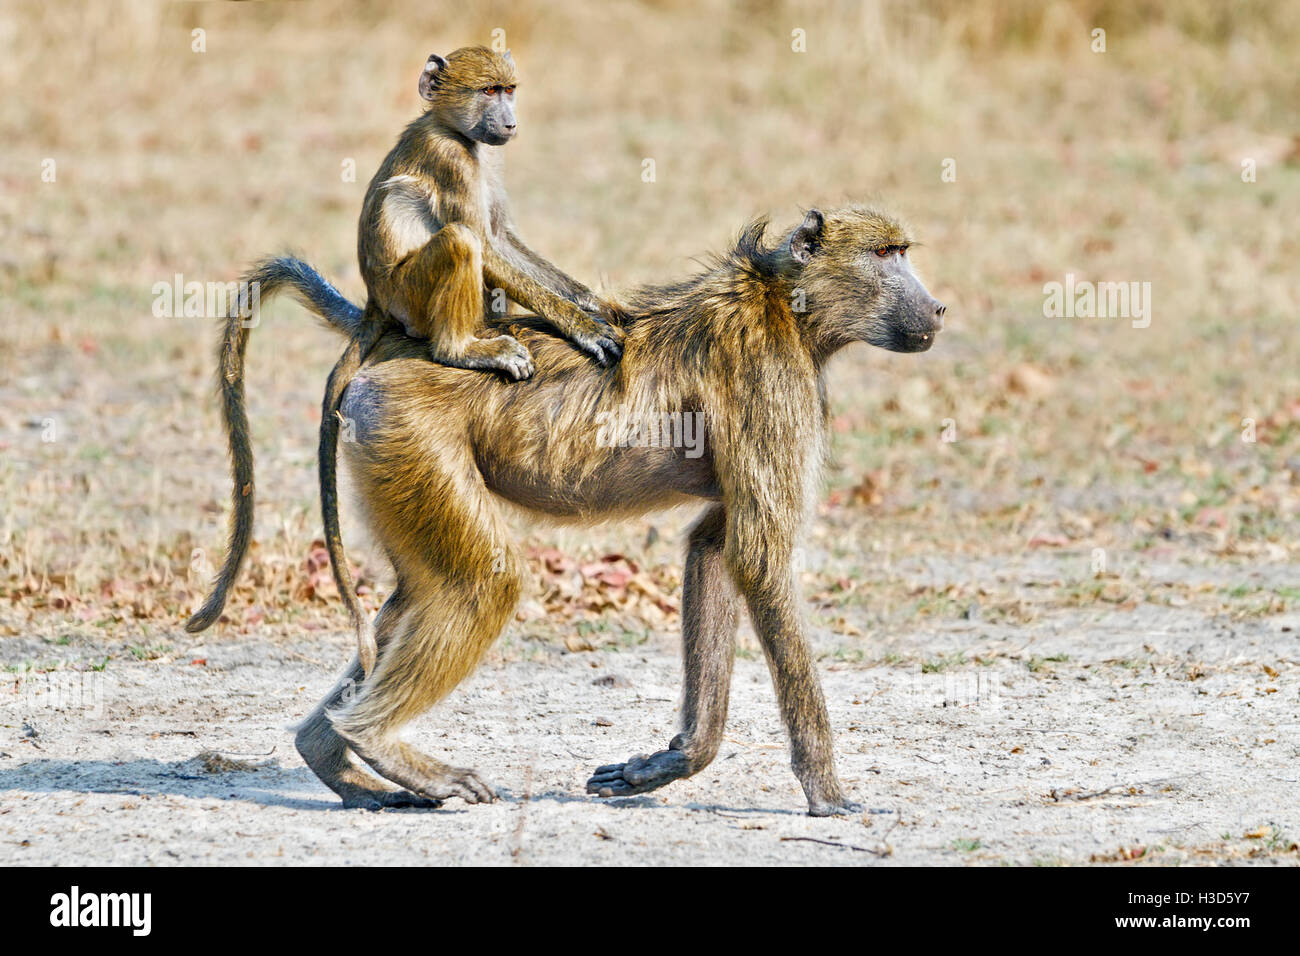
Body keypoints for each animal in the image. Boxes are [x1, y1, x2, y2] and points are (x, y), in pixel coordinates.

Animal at [188, 204, 946, 815]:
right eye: (887, 255)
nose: (936, 309)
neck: (785, 301)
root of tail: (410, 341)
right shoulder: (773, 381)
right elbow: (760, 560)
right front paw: (829, 795)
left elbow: (715, 547)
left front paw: (670, 761)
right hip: (408, 433)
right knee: (482, 582)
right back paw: (374, 744)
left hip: (386, 454)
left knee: (417, 595)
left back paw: (334, 757)